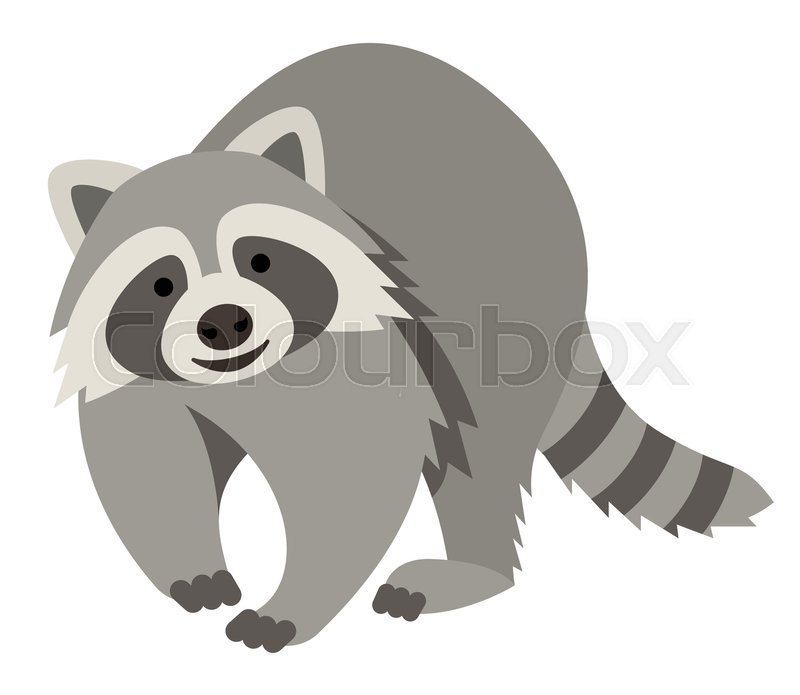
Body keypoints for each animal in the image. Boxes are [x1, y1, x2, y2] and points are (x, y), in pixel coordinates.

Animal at [50, 44, 771, 652]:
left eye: (259, 260)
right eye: (163, 283)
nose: (225, 323)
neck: (243, 378)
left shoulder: (368, 358)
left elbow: (349, 490)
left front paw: (292, 605)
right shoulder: (138, 381)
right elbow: (154, 461)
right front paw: (192, 567)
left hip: (505, 305)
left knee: (479, 438)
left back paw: (472, 567)